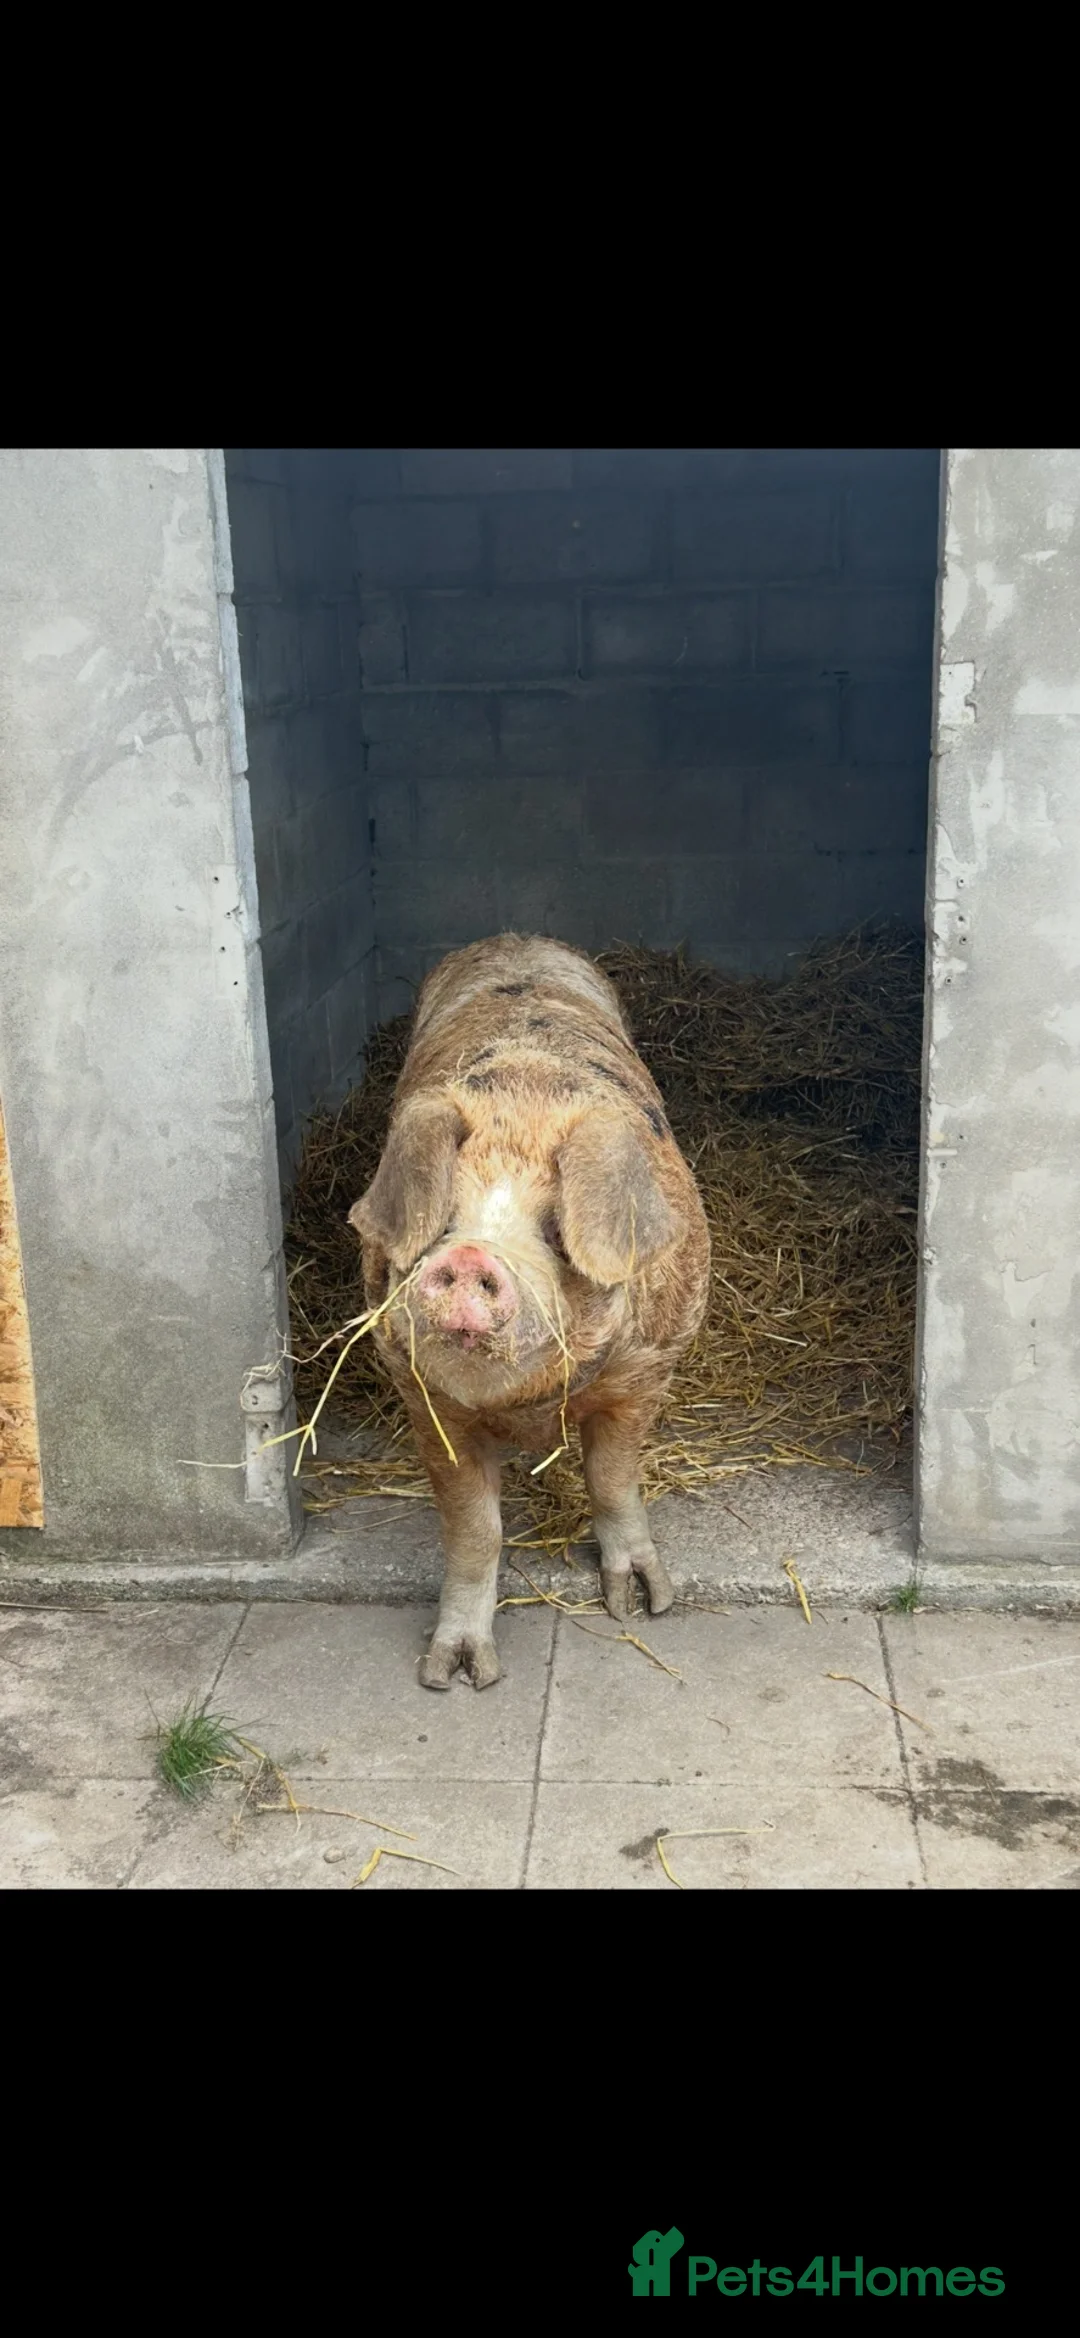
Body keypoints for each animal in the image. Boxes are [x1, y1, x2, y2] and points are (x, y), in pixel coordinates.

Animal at [348, 934, 710, 1690]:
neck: (527, 1407)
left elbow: (612, 1479)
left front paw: (643, 1606)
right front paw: (455, 1676)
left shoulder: (647, 1371)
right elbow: (473, 1529)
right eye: (444, 1223)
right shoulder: (423, 1400)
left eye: (553, 1232)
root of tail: (515, 938)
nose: (468, 1258)